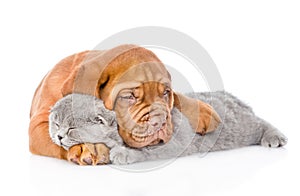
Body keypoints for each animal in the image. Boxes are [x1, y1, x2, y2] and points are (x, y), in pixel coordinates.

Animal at [48, 91, 288, 165]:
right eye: (56, 124)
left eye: (71, 128)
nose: (58, 136)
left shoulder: (173, 141)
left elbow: (147, 150)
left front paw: (123, 153)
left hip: (240, 128)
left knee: (260, 123)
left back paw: (276, 137)